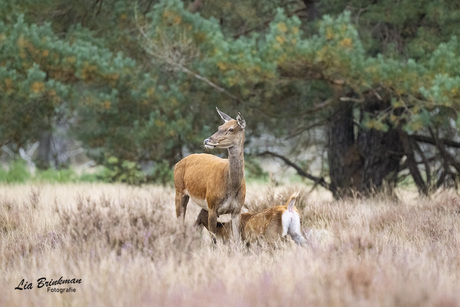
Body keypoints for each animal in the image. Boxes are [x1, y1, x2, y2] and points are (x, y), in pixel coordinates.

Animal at [173, 108, 246, 241]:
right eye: (219, 127)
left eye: (231, 129)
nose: (207, 140)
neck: (231, 186)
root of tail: (177, 164)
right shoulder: (212, 207)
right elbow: (213, 240)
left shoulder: (237, 209)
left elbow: (237, 239)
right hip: (179, 191)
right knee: (180, 223)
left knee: (195, 224)